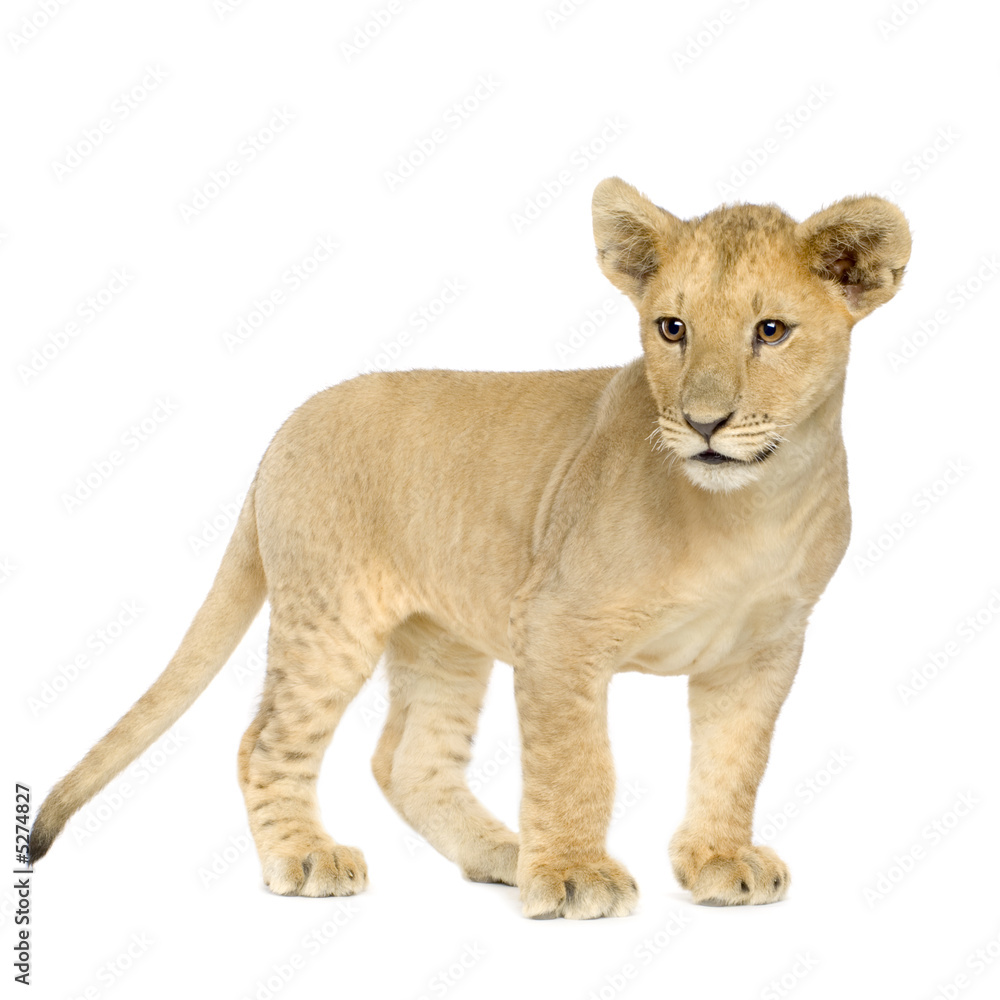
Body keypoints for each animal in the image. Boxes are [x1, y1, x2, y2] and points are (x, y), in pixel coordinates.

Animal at [30, 177, 911, 919]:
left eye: (771, 331)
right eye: (673, 329)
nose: (703, 423)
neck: (751, 509)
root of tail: (287, 426)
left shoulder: (763, 648)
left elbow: (736, 760)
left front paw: (719, 860)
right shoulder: (559, 629)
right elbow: (577, 761)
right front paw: (575, 876)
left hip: (443, 634)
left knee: (407, 759)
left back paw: (502, 853)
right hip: (330, 615)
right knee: (266, 741)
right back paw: (311, 858)